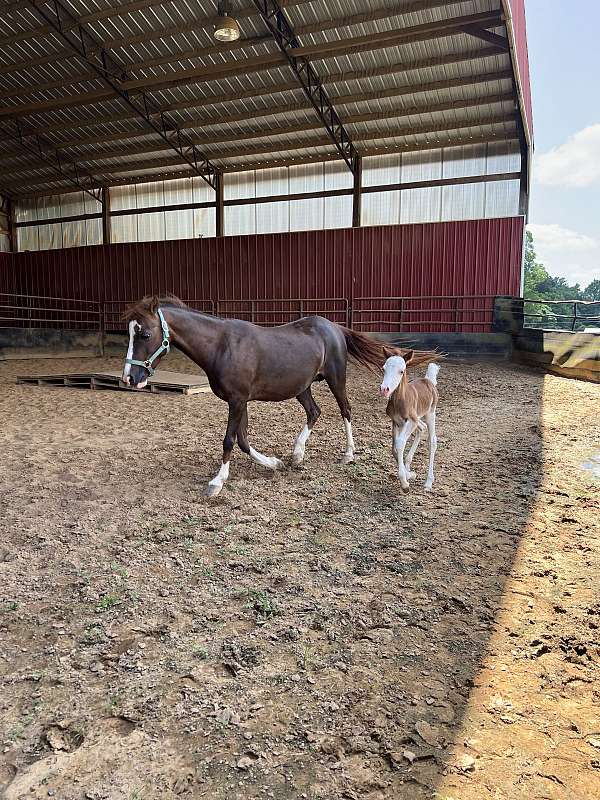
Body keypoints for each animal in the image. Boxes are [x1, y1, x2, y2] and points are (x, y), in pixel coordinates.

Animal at [380, 354, 440, 490]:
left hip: (430, 413)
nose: (384, 389)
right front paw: (409, 474)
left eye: (401, 371)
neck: (400, 400)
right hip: (416, 419)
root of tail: (428, 381)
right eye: (384, 368)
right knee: (422, 427)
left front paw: (405, 482)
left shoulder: (411, 421)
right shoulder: (396, 422)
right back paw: (408, 465)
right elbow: (394, 448)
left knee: (432, 441)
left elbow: (400, 443)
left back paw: (428, 482)